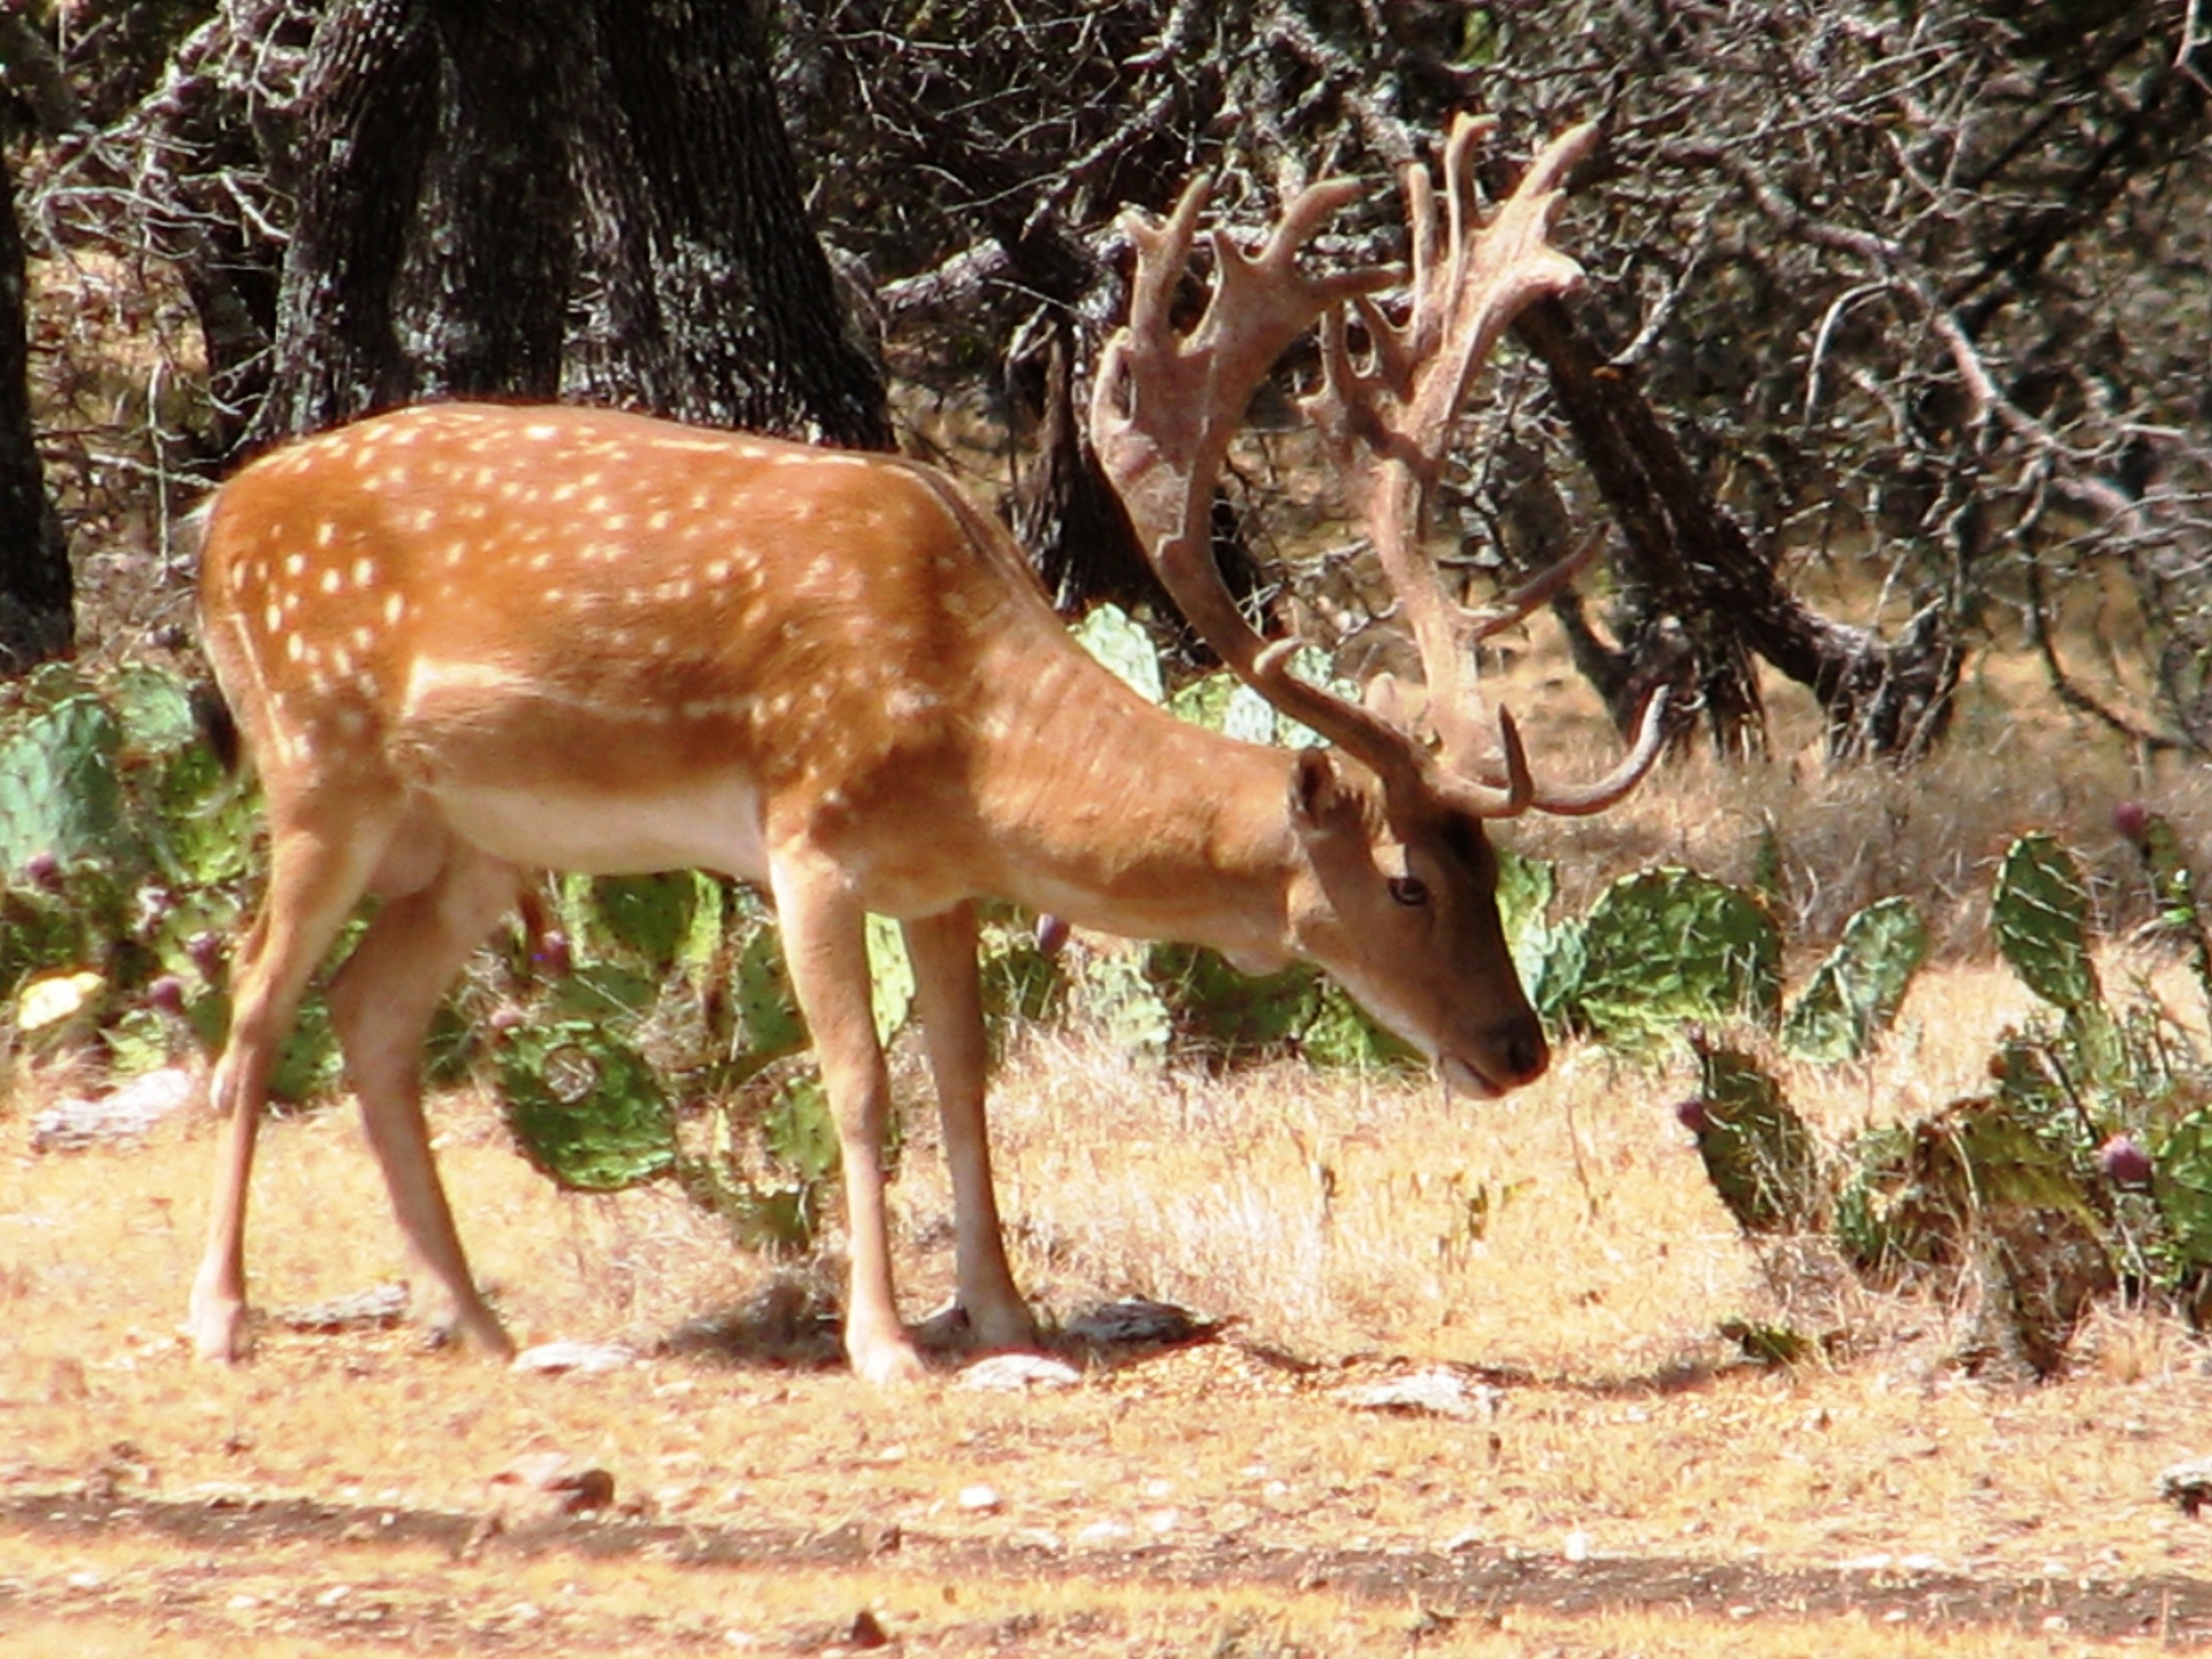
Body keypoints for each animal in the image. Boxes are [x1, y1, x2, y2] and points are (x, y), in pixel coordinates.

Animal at [195, 117, 1663, 1380]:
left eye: (1493, 867)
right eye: (1409, 880)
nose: (1518, 1046)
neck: (969, 729)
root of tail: (216, 530)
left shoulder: (946, 882)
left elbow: (965, 1080)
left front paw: (1007, 1314)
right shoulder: (807, 832)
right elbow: (857, 1081)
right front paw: (887, 1341)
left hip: (474, 840)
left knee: (368, 1012)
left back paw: (480, 1322)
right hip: (318, 757)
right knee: (258, 998)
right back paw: (225, 1313)